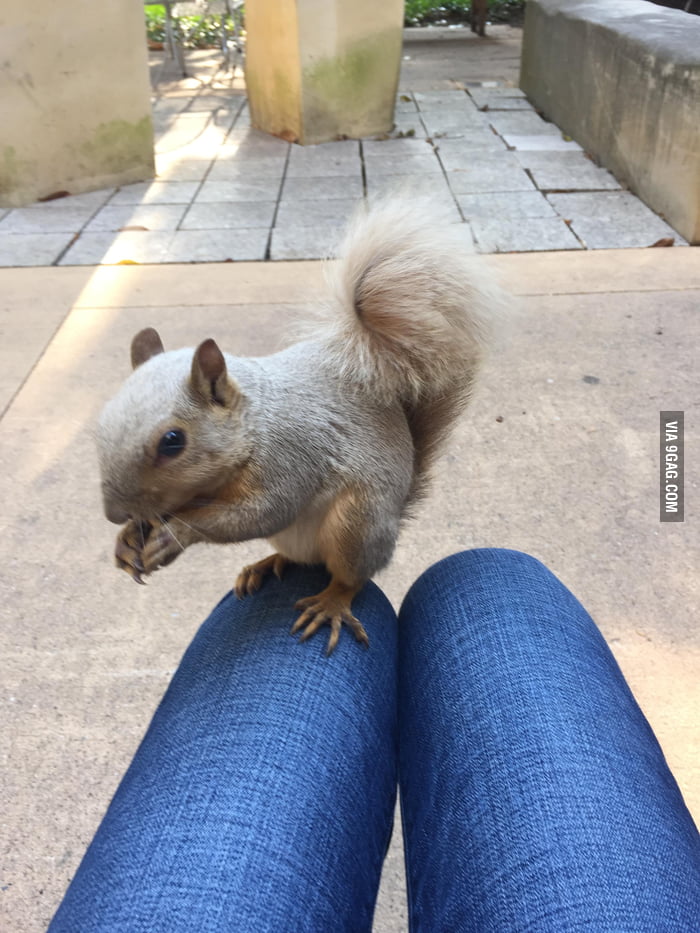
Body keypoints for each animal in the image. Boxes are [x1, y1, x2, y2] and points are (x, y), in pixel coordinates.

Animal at [95, 200, 506, 652]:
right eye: (101, 421)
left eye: (172, 441)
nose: (113, 514)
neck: (254, 423)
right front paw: (128, 539)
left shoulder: (291, 454)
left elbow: (264, 511)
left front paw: (176, 534)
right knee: (298, 558)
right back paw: (265, 563)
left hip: (357, 523)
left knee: (350, 576)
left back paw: (331, 603)